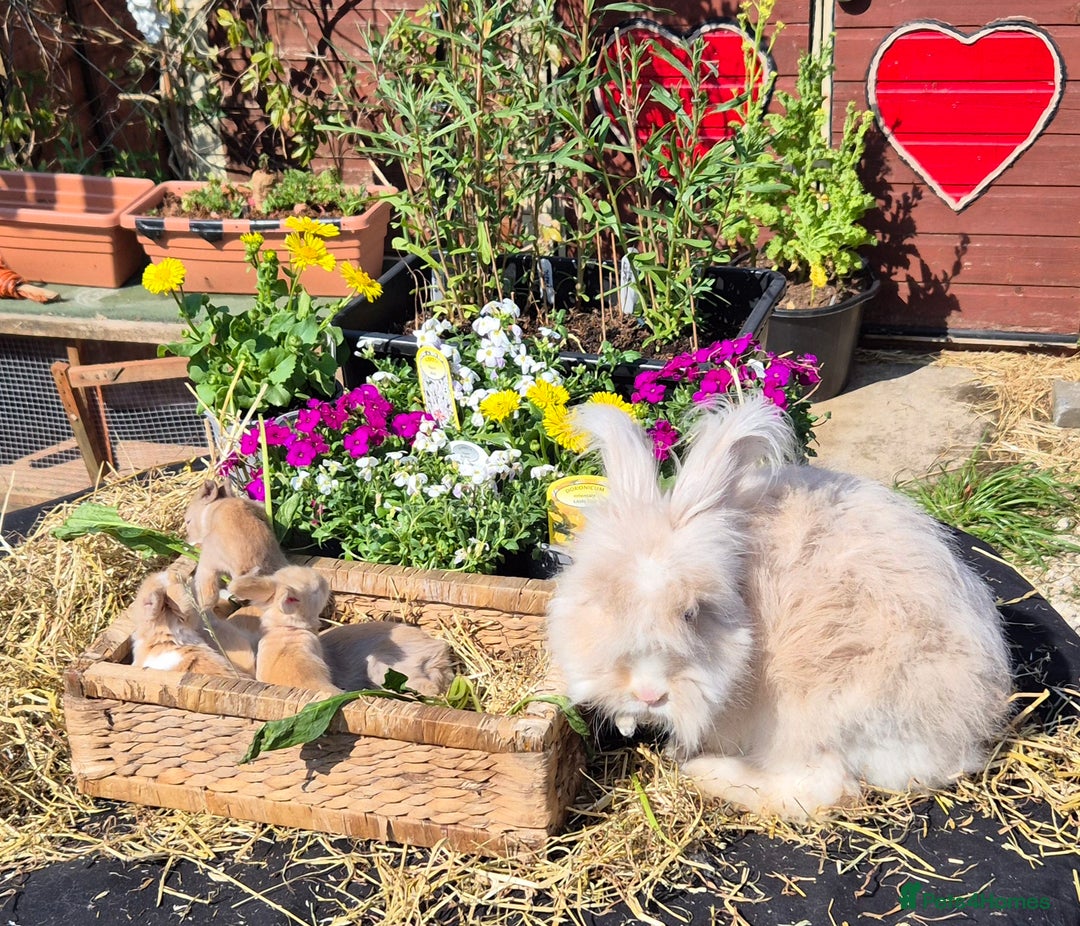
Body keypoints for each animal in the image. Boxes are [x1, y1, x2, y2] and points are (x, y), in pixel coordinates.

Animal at [545, 394, 1013, 820]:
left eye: (693, 613)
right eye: (606, 605)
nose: (649, 694)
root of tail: (960, 741)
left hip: (818, 712)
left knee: (827, 791)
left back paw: (701, 768)